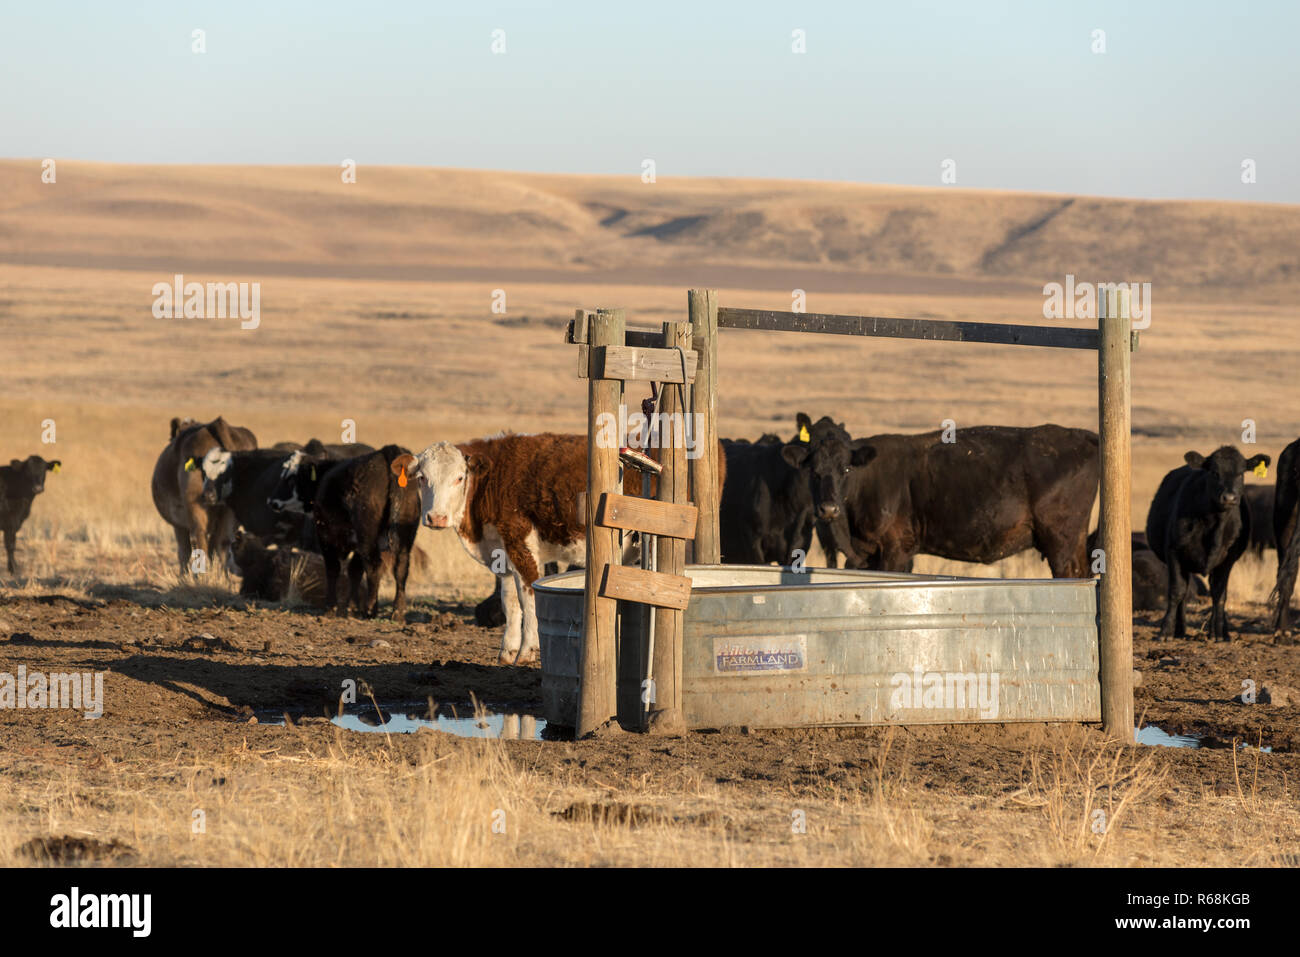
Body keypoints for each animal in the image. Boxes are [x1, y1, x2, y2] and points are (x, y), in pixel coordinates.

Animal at [821, 423, 1097, 574]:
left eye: (846, 469)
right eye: (815, 468)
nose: (828, 508)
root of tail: (1083, 436)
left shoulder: (895, 550)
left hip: (1062, 543)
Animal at [1149, 444, 1268, 639]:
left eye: (1241, 473)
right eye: (1214, 472)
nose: (1229, 497)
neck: (1214, 527)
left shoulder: (1228, 559)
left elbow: (1220, 594)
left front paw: (1218, 633)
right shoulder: (1174, 552)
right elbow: (1176, 591)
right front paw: (1165, 631)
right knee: (1184, 592)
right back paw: (1180, 630)